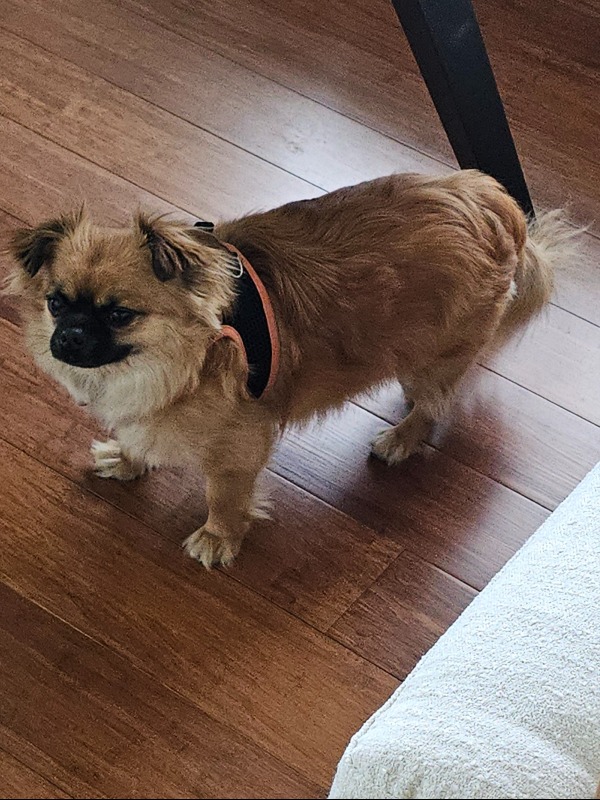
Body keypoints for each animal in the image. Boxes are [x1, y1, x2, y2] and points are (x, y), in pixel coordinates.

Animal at [5, 170, 571, 568]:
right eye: (56, 303)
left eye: (120, 315)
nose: (70, 337)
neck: (182, 357)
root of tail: (495, 203)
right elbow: (135, 436)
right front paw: (126, 462)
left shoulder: (239, 445)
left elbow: (225, 495)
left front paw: (218, 538)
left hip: (428, 358)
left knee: (436, 404)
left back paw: (400, 440)